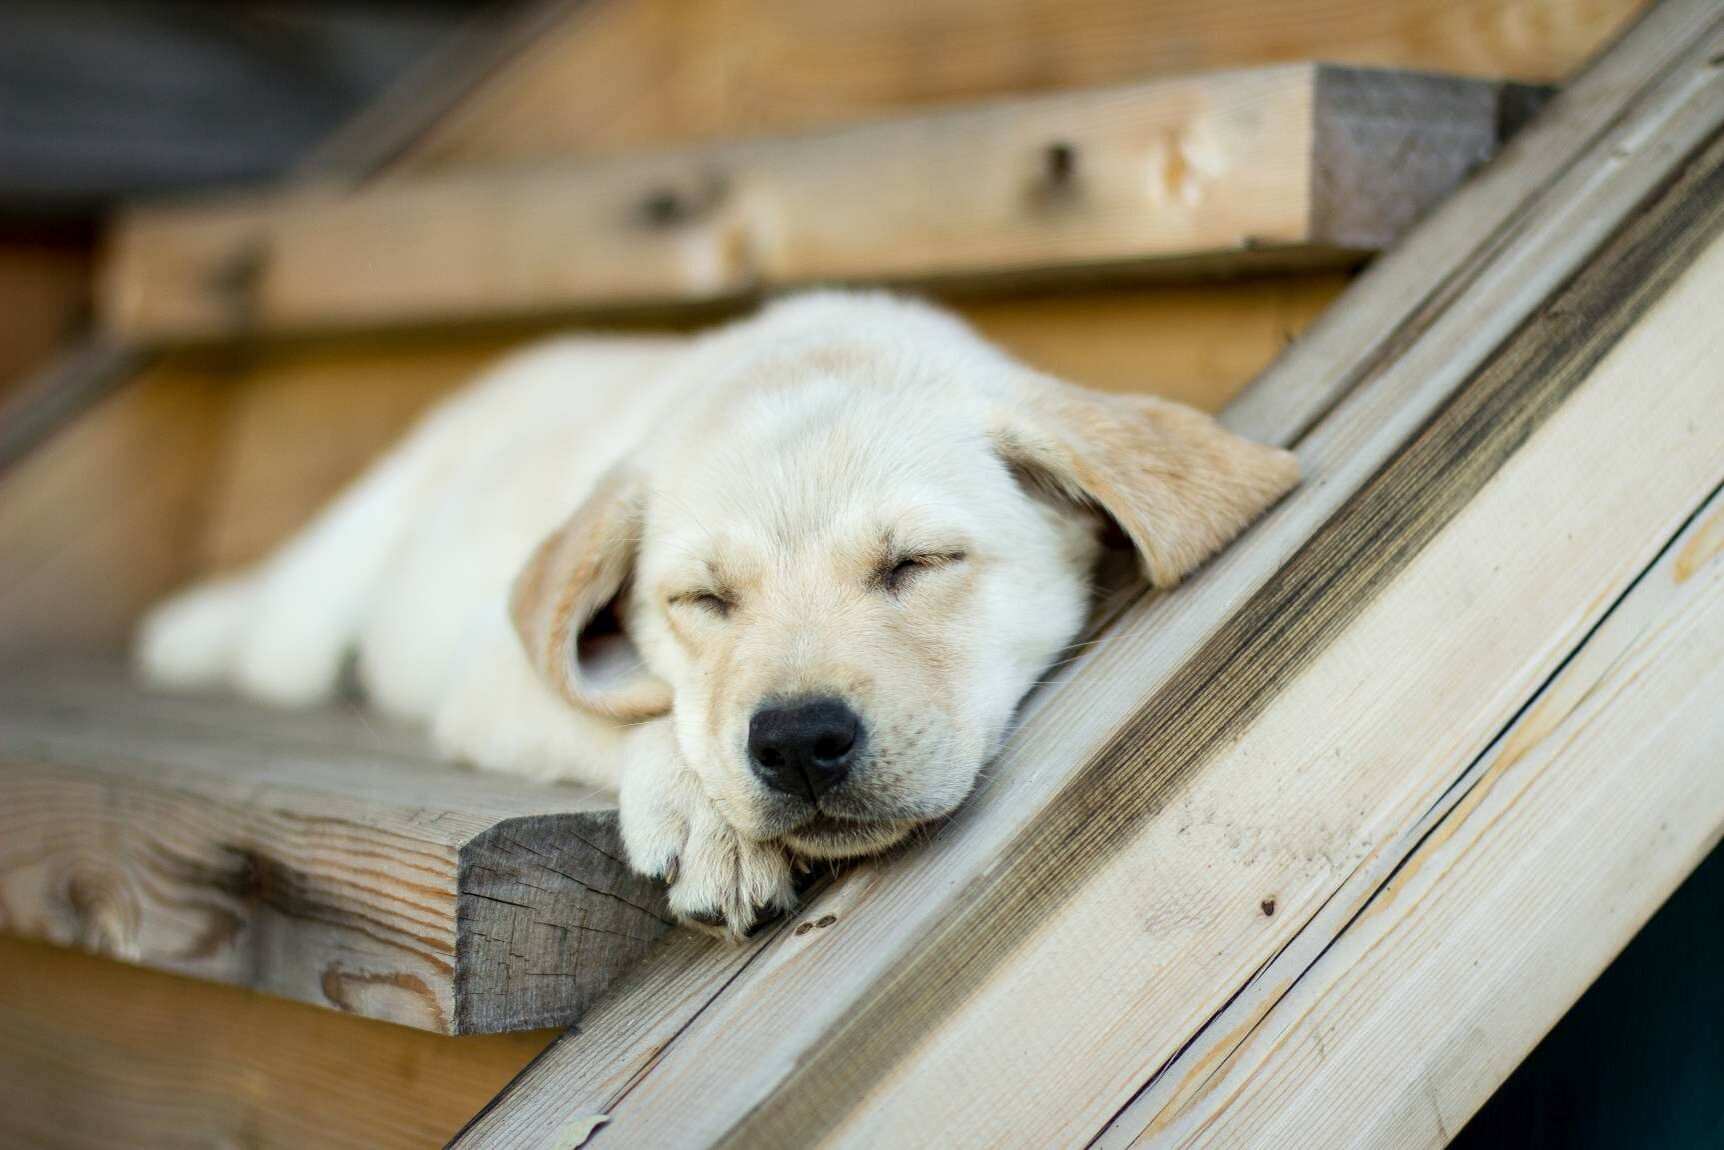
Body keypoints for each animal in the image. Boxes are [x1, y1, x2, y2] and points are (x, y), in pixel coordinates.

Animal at [137, 293, 1296, 937]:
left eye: (916, 564)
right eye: (702, 599)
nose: (798, 744)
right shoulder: (493, 673)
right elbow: (634, 709)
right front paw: (706, 821)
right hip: (331, 591)